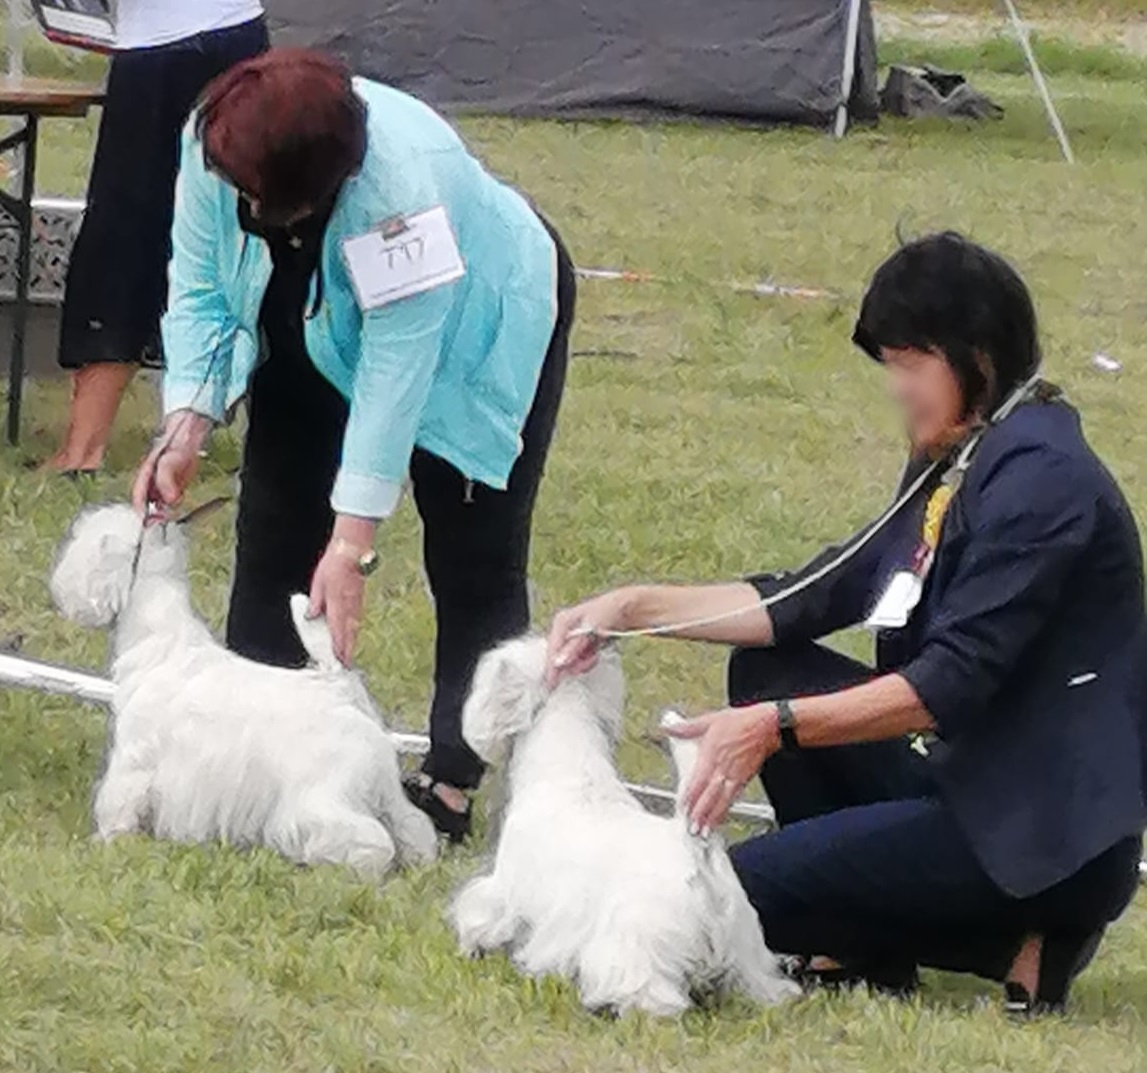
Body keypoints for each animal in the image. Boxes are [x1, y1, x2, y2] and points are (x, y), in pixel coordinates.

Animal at [49, 507, 435, 876]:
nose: (58, 588)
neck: (159, 642)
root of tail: (342, 687)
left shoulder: (134, 758)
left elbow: (118, 803)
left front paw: (107, 843)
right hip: (382, 787)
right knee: (412, 824)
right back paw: (420, 860)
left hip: (324, 794)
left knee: (369, 838)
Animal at [447, 633, 798, 1019]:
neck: (567, 772)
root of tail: (697, 849)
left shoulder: (507, 889)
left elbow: (482, 918)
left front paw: (472, 947)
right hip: (747, 944)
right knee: (760, 983)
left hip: (636, 940)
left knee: (648, 988)